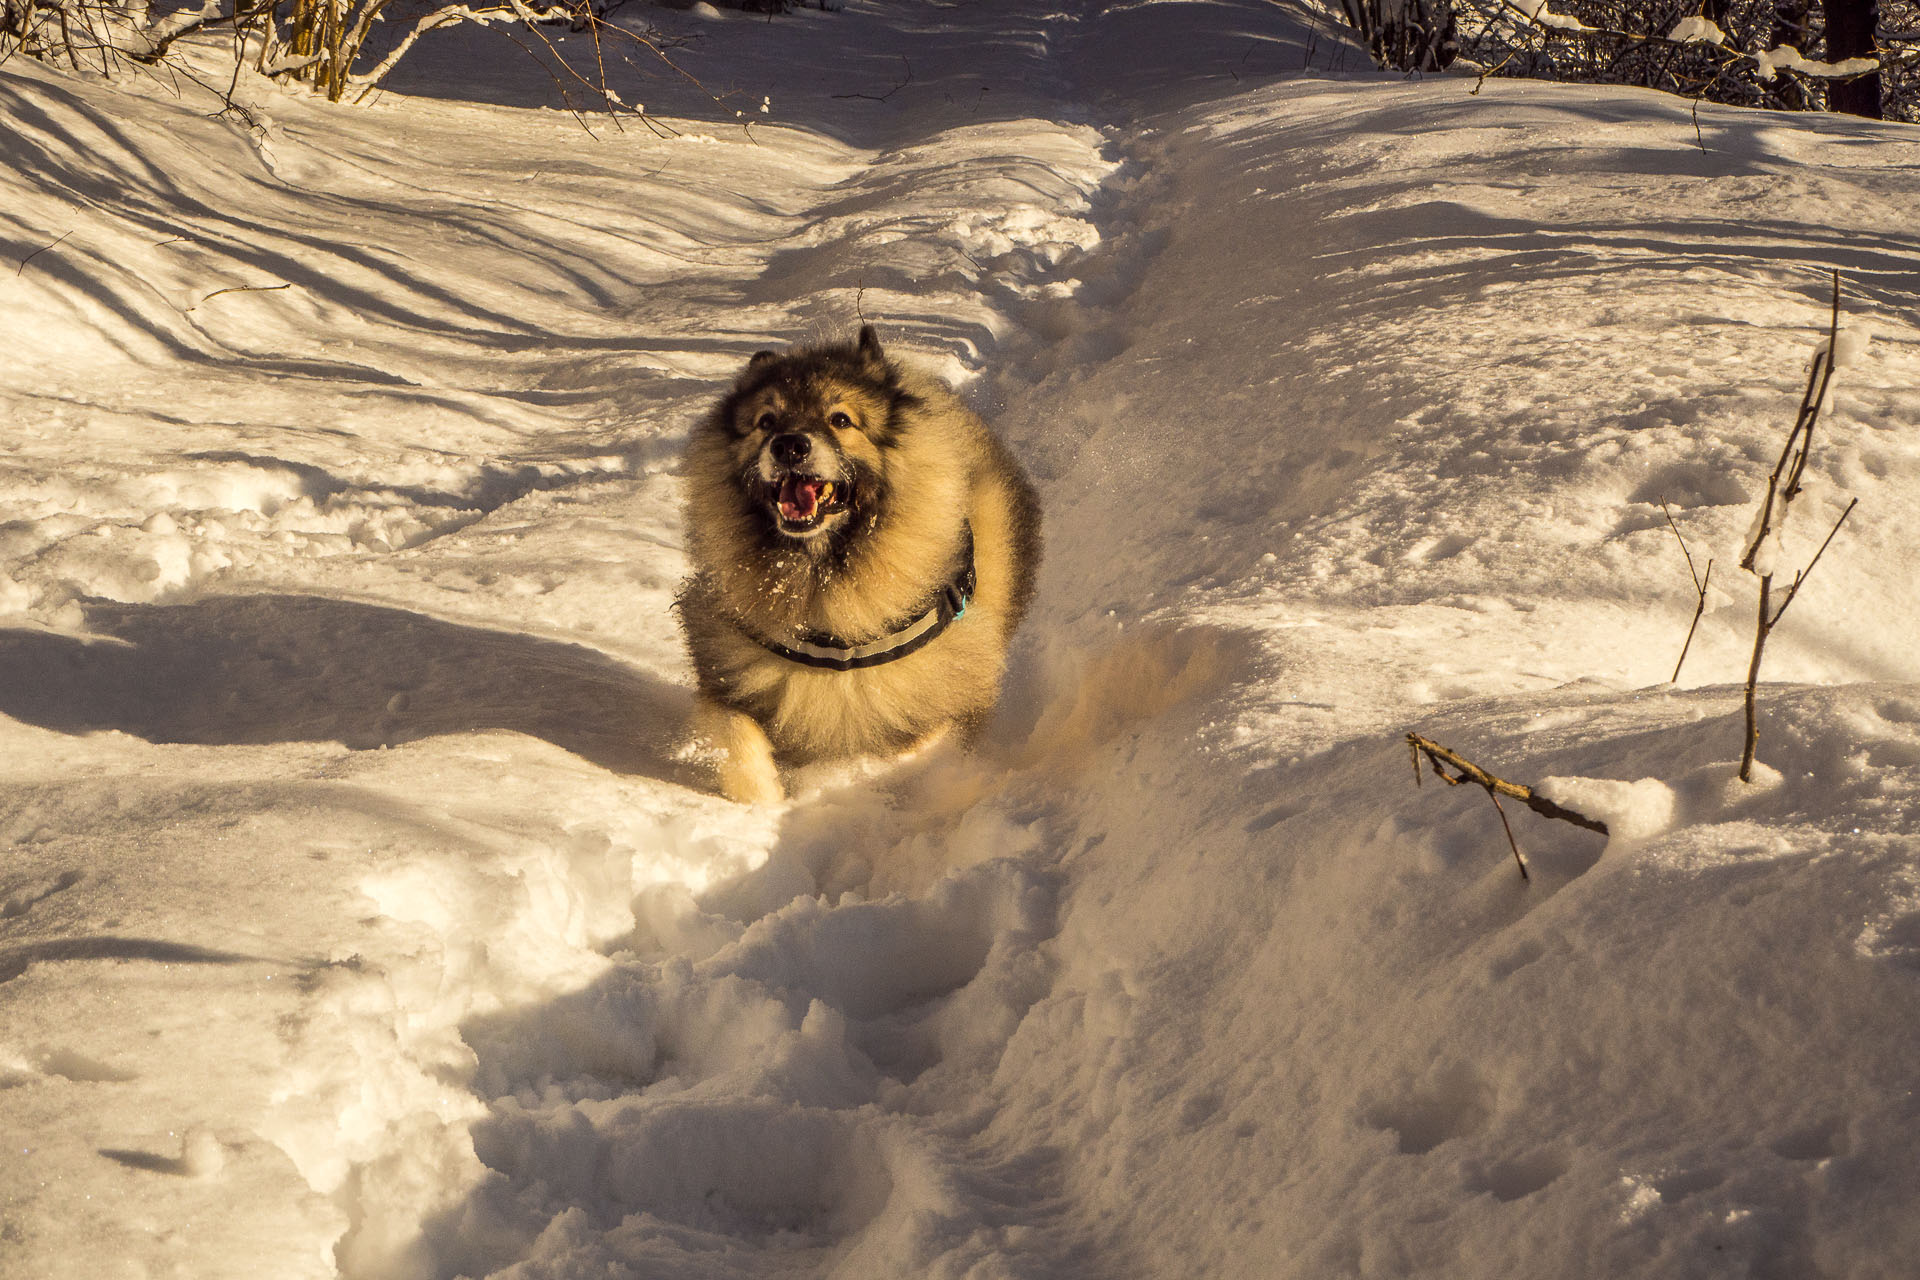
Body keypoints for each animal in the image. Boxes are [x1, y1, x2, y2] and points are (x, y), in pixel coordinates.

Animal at [672, 326, 1036, 802]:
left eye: (841, 420)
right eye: (766, 421)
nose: (790, 445)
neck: (818, 575)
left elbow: (920, 740)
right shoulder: (726, 668)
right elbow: (736, 732)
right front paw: (764, 801)